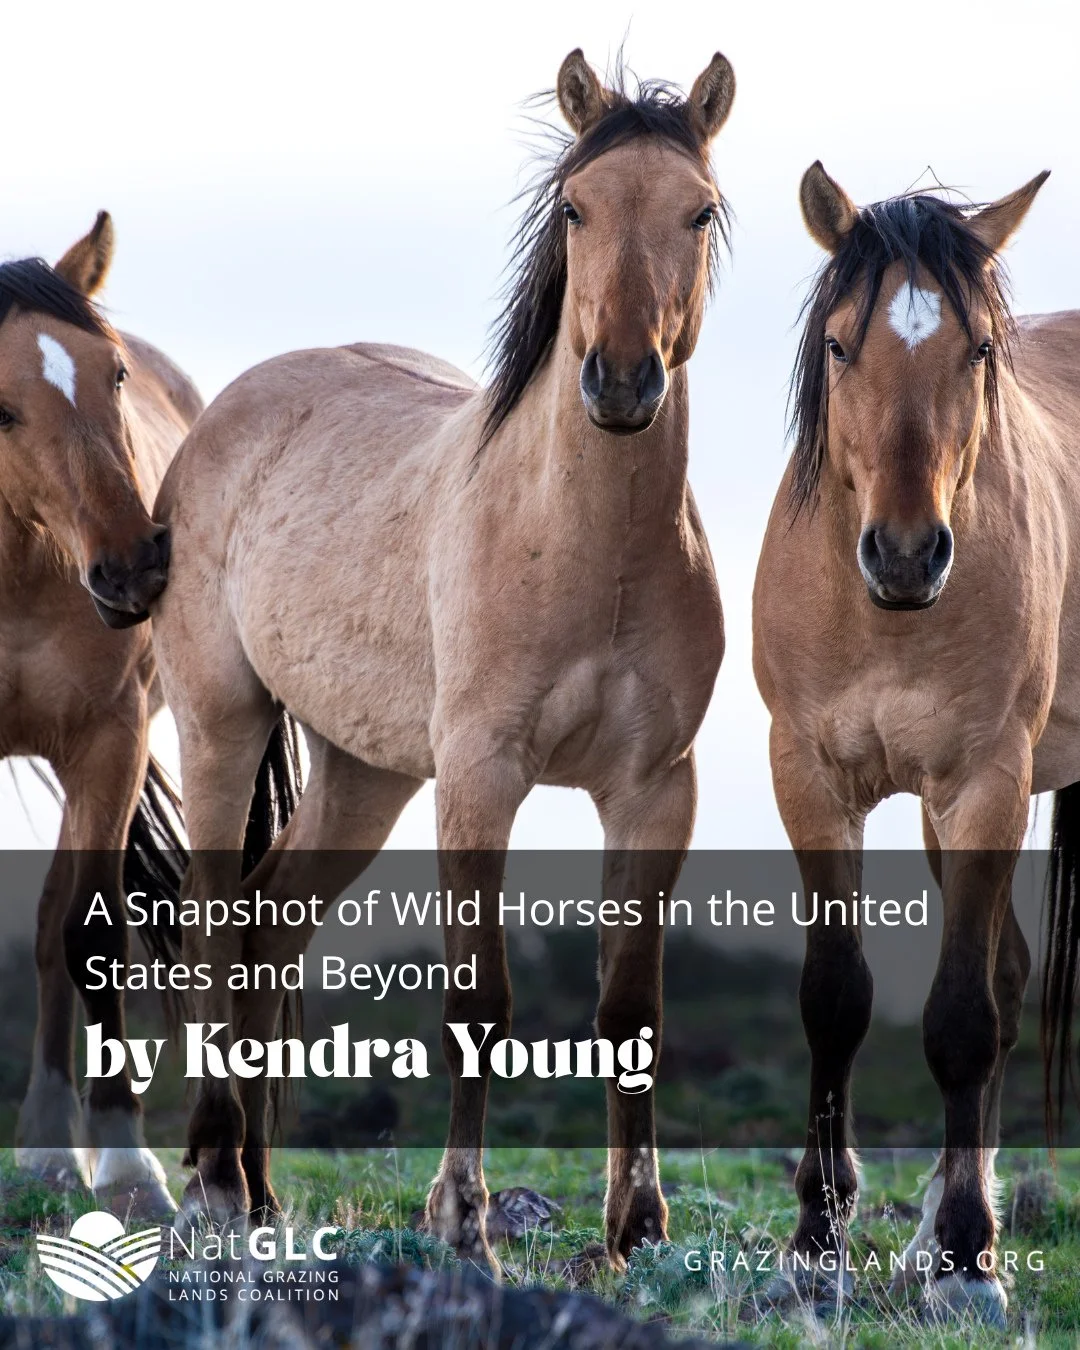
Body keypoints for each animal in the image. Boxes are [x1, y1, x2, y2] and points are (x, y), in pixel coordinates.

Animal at [150, 47, 735, 1270]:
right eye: (576, 207)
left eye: (698, 211)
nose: (621, 382)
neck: (588, 547)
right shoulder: (481, 776)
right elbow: (479, 1000)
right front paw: (463, 1217)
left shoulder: (655, 789)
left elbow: (632, 1008)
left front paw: (636, 1226)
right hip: (222, 724)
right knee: (212, 925)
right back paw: (216, 1183)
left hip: (367, 773)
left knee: (269, 929)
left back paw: (263, 1197)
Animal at [751, 162, 1076, 1325]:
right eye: (841, 343)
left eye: (977, 350)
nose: (903, 554)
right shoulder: (811, 779)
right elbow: (834, 999)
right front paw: (817, 1249)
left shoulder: (987, 783)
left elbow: (961, 1018)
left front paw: (972, 1264)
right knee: (1012, 973)